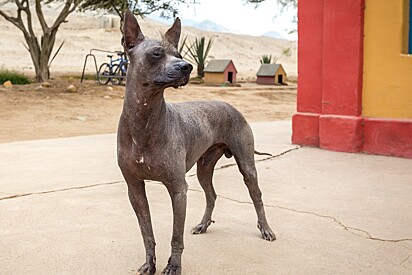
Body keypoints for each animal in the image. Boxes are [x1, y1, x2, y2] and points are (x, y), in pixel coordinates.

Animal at [116, 9, 276, 274]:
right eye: (156, 53)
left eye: (179, 54)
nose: (187, 66)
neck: (145, 121)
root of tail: (230, 105)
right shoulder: (134, 188)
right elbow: (146, 232)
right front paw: (150, 264)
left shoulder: (178, 189)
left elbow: (175, 236)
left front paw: (173, 266)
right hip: (204, 169)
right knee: (212, 195)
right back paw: (203, 224)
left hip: (247, 166)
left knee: (257, 197)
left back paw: (266, 229)